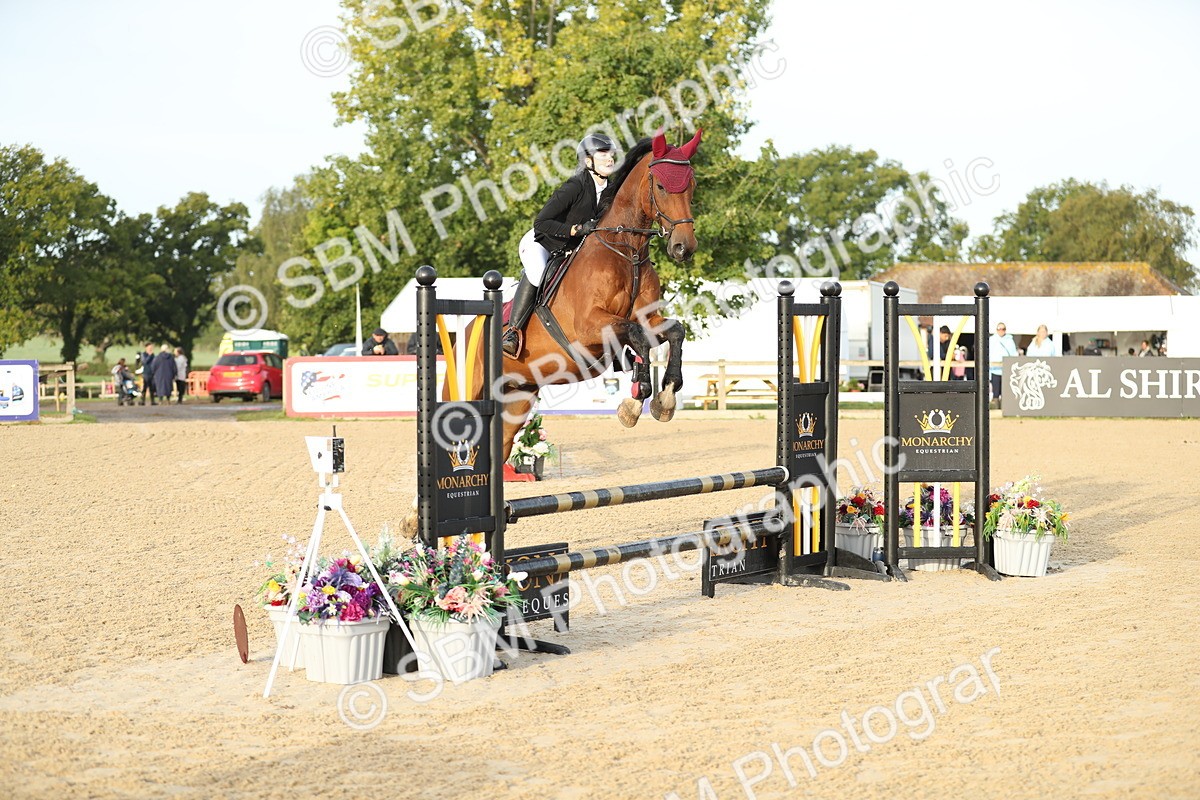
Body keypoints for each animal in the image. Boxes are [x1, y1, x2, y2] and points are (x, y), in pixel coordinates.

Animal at [461, 129, 701, 462]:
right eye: (662, 187)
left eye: (691, 186)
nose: (683, 248)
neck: (627, 251)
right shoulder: (589, 327)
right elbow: (636, 334)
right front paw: (636, 400)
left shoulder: (648, 318)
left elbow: (674, 330)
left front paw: (665, 396)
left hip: (518, 394)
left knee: (504, 442)